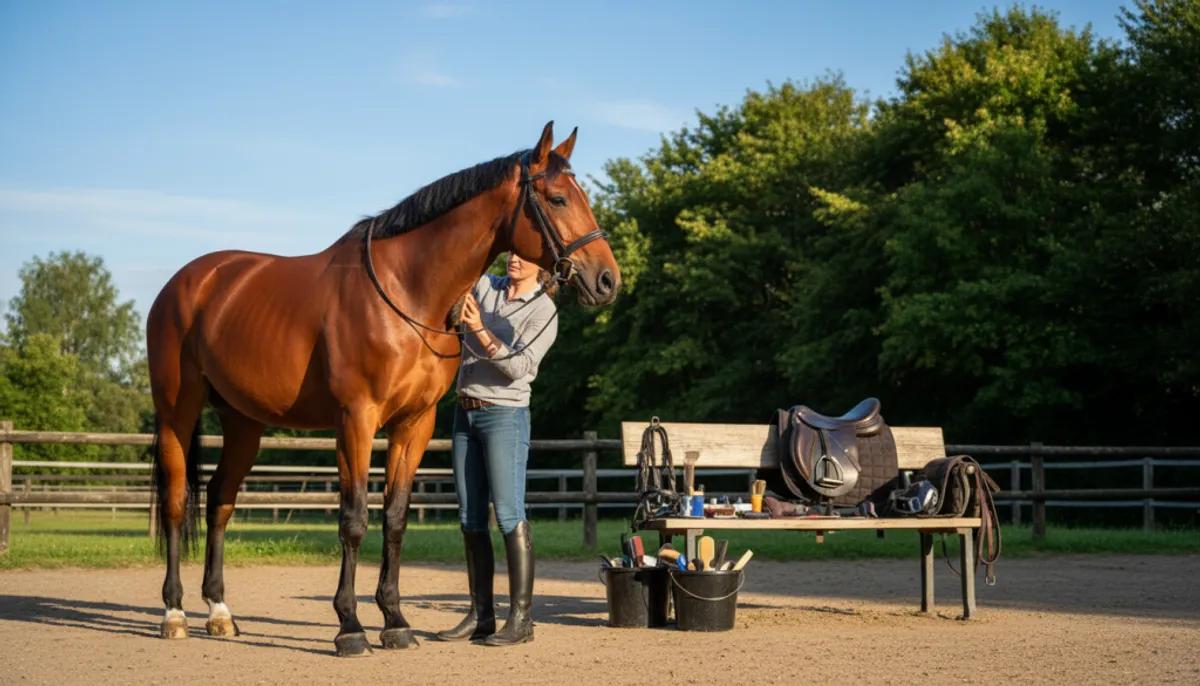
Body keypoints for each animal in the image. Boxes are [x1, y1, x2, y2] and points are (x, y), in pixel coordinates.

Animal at [144, 121, 621, 657]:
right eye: (558, 198)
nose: (607, 279)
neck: (406, 291)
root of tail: (188, 282)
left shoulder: (414, 424)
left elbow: (395, 518)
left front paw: (394, 621)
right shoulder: (356, 419)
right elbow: (354, 520)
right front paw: (350, 627)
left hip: (243, 422)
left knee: (219, 501)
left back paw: (220, 613)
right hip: (178, 413)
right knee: (178, 502)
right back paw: (174, 613)